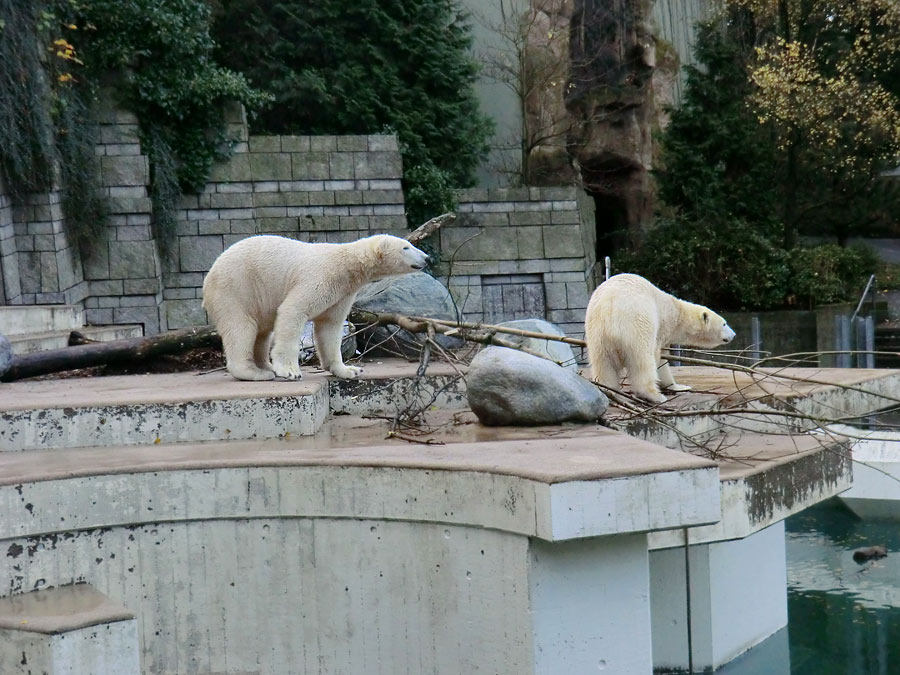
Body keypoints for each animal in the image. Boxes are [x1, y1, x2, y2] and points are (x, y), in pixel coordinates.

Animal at [204, 232, 428, 380]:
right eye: (406, 247)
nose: (427, 257)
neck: (346, 264)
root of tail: (209, 276)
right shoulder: (319, 277)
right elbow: (293, 311)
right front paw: (290, 371)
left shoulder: (342, 293)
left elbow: (330, 327)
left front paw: (349, 370)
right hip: (236, 288)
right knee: (241, 328)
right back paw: (256, 372)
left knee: (262, 331)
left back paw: (266, 366)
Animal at [584, 274, 740, 402]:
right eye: (724, 323)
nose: (733, 334)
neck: (676, 312)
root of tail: (609, 310)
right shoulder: (661, 325)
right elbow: (660, 360)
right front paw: (679, 386)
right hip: (635, 326)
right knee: (642, 361)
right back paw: (655, 396)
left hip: (597, 335)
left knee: (603, 364)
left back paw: (610, 391)